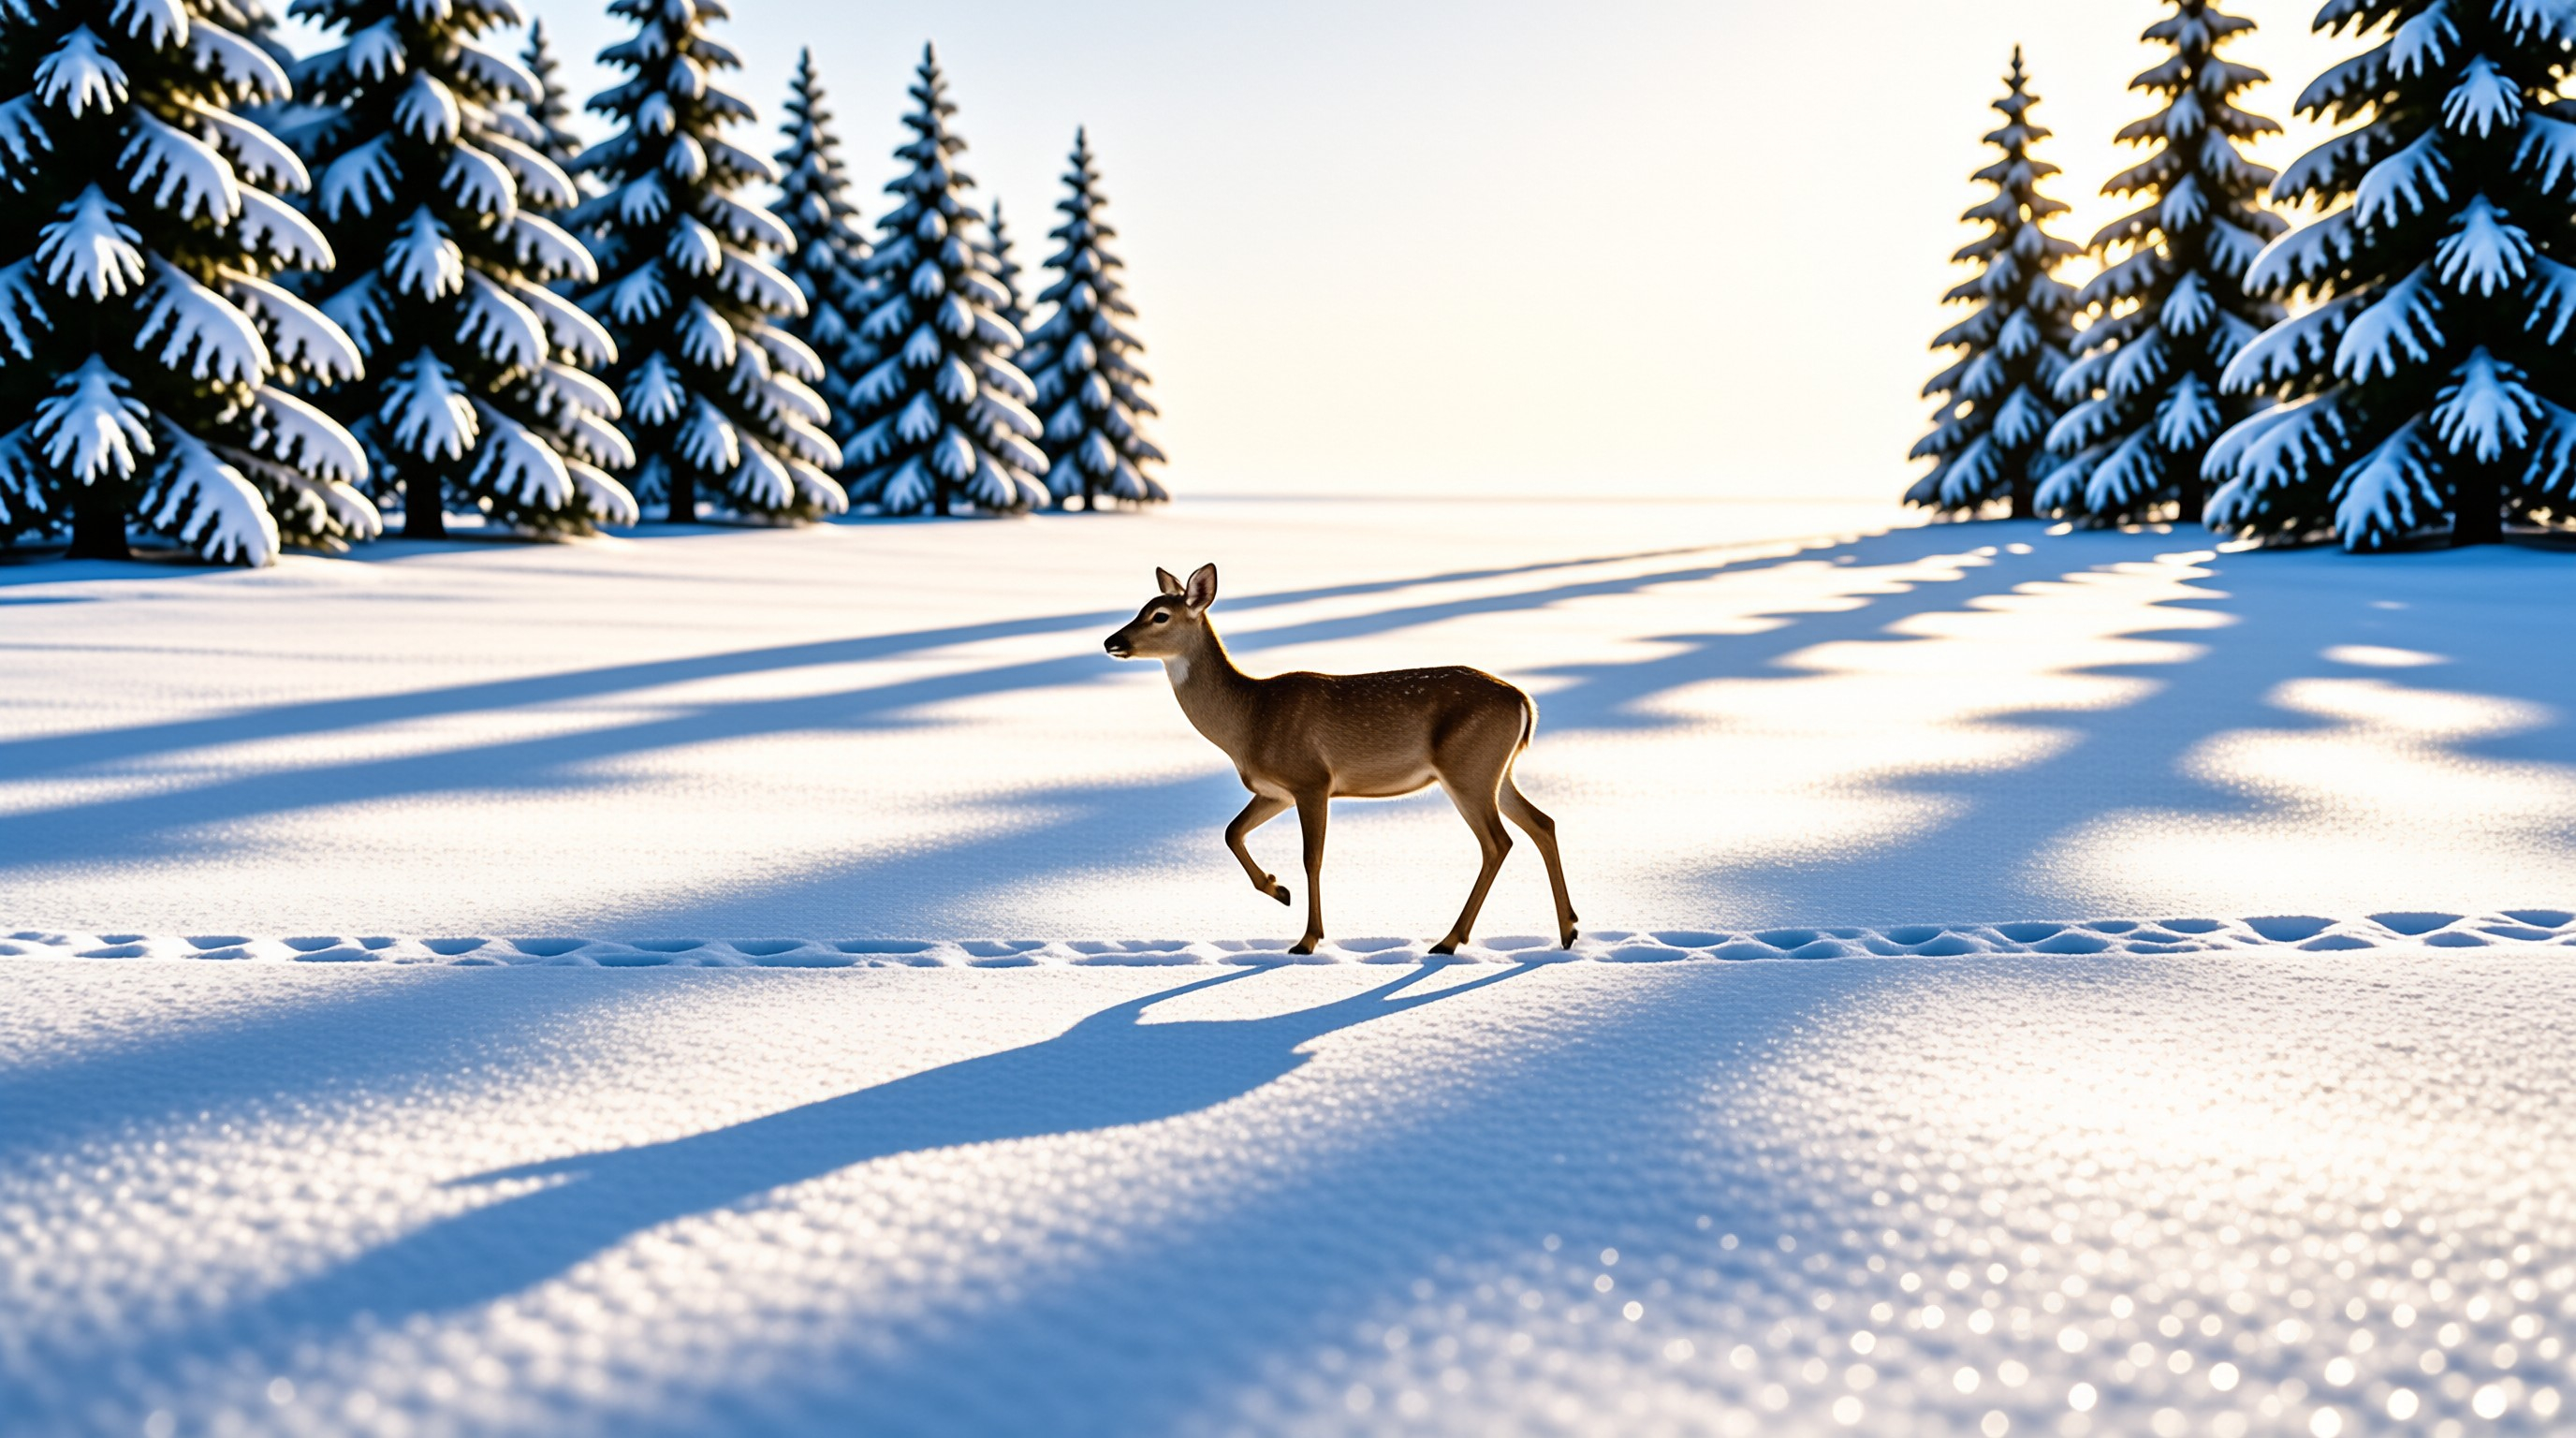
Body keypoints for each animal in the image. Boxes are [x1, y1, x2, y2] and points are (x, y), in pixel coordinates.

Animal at [1103, 563, 1577, 956]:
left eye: (1160, 615)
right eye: (1142, 608)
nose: (1112, 641)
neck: (1250, 719)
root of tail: (1523, 701)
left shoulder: (1311, 779)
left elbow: (1311, 858)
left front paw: (1308, 938)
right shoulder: (1276, 791)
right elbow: (1231, 832)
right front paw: (1278, 890)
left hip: (1467, 769)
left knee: (1498, 842)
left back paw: (1450, 940)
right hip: (1496, 770)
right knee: (1542, 823)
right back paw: (1568, 929)